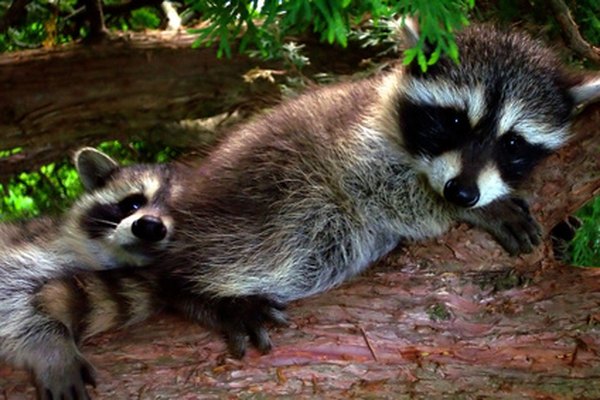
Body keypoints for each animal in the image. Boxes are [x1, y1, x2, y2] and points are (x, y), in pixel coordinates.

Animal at [158, 21, 600, 354]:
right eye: (456, 121)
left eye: (512, 143)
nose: (461, 193)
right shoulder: (352, 140)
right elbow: (374, 188)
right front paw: (464, 209)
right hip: (267, 188)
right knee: (294, 231)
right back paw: (194, 288)